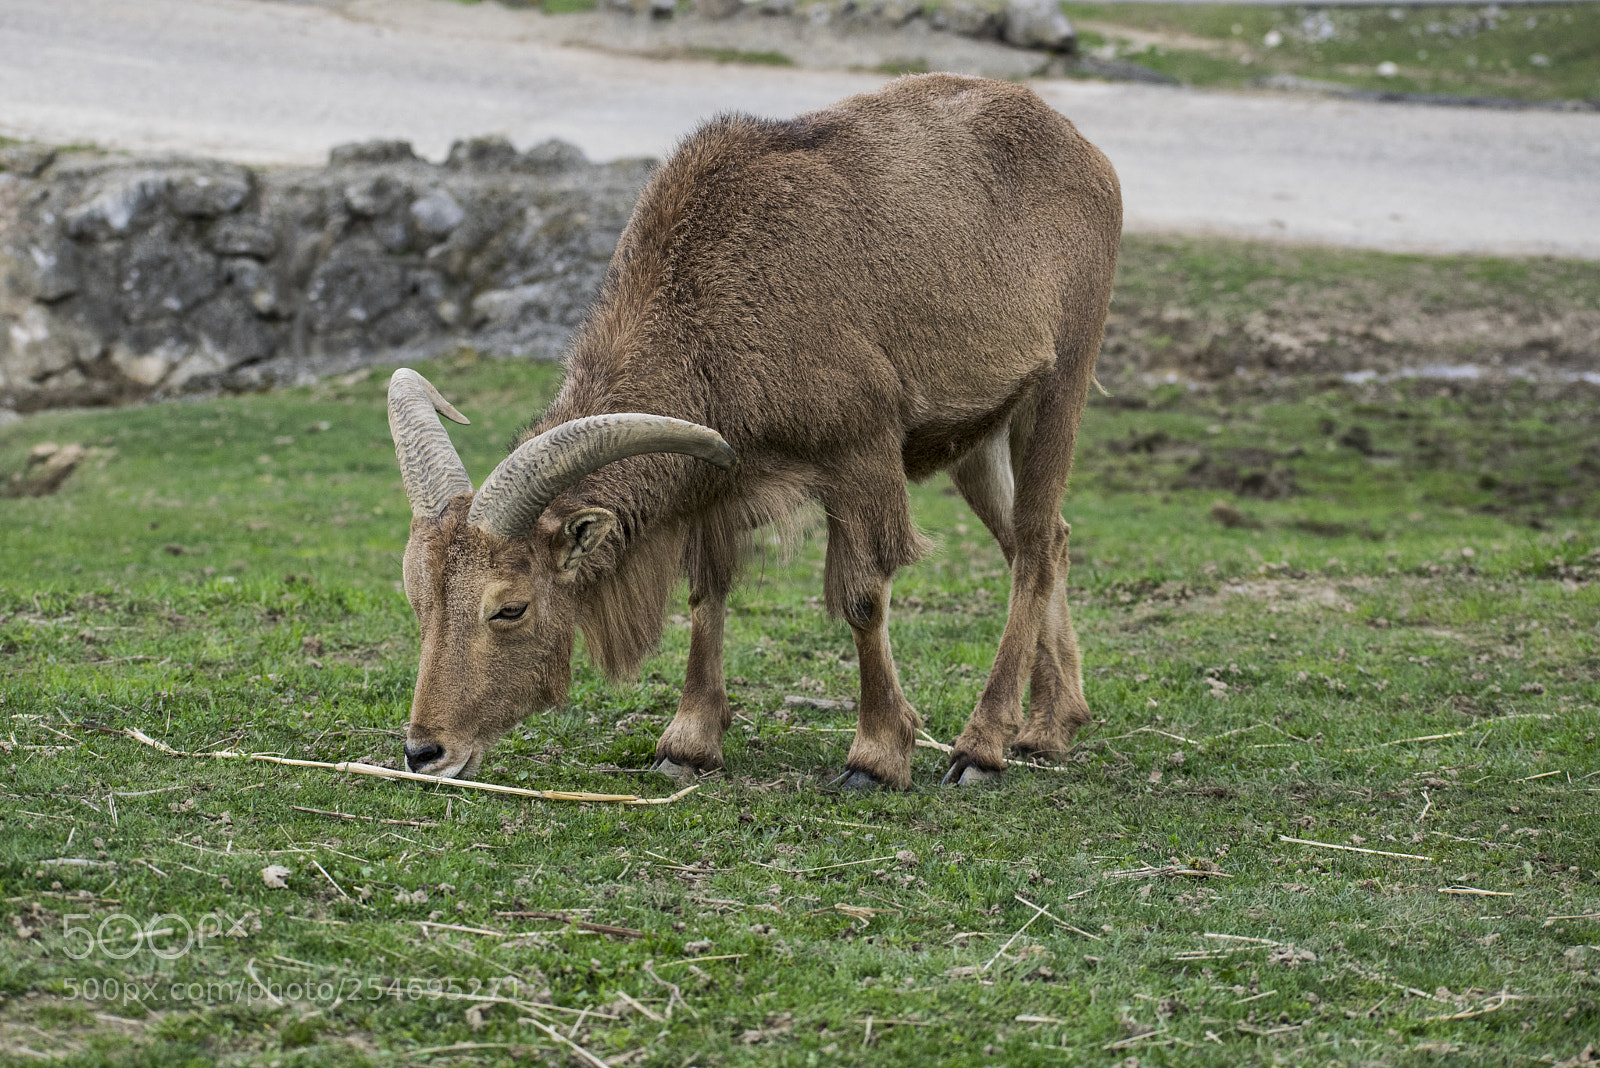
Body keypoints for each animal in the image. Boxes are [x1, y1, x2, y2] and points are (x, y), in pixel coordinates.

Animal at [388, 73, 1121, 788]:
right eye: (419, 598)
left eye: (508, 608)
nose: (426, 751)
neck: (719, 297)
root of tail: (1086, 151)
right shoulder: (717, 472)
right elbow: (705, 593)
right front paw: (687, 745)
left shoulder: (861, 450)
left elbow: (863, 597)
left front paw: (876, 756)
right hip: (979, 433)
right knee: (1041, 540)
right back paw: (1050, 725)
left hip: (1060, 381)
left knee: (1033, 544)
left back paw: (982, 747)